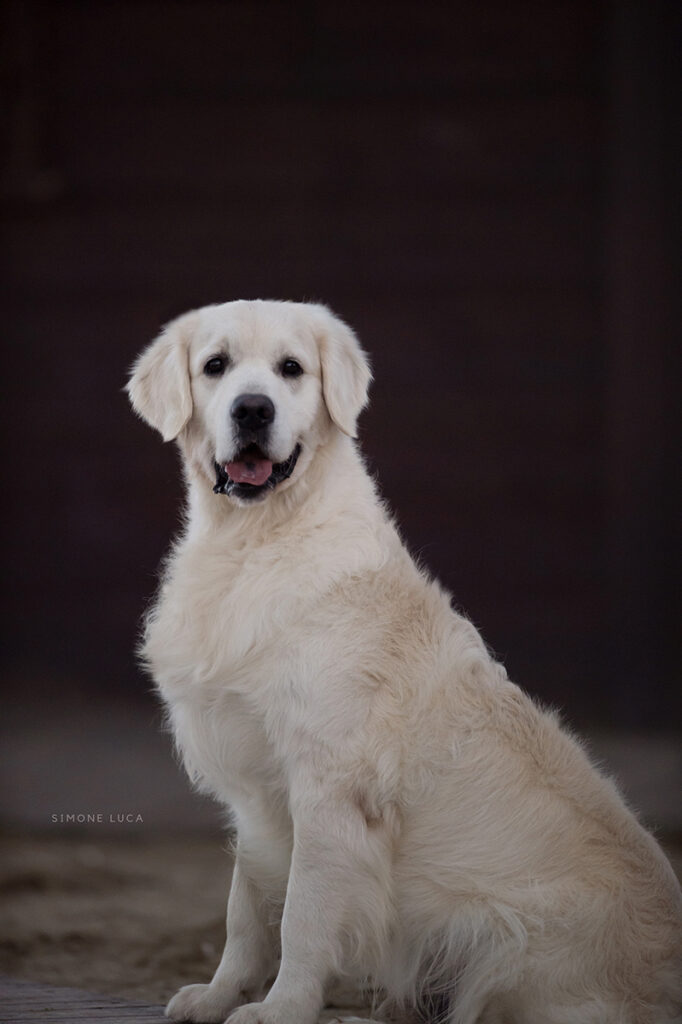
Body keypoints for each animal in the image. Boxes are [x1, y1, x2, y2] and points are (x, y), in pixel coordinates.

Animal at [127, 299, 679, 1024]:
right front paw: (221, 994)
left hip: (509, 947)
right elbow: (244, 908)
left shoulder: (330, 789)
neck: (257, 541)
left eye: (291, 369)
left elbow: (301, 916)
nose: (252, 409)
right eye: (215, 365)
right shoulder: (256, 791)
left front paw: (282, 1008)